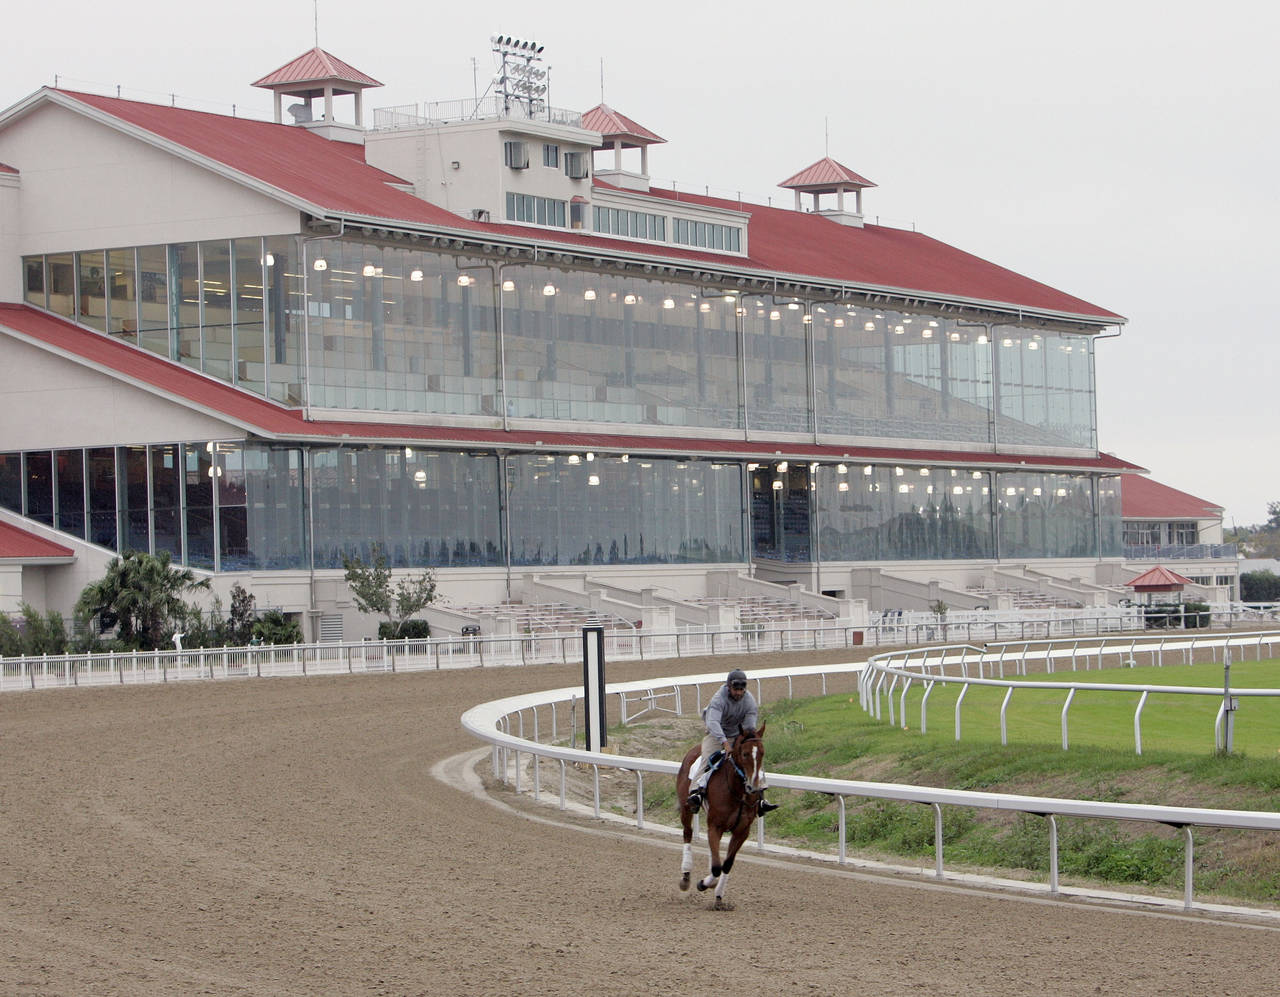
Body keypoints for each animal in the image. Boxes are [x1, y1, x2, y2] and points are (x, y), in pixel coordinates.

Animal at [675, 721, 762, 906]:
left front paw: (719, 895)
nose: (754, 786)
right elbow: (716, 867)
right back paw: (685, 876)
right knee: (687, 833)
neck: (738, 792)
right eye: (745, 754)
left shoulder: (742, 831)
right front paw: (703, 883)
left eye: (762, 753)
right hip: (686, 807)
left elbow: (726, 864)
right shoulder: (715, 825)